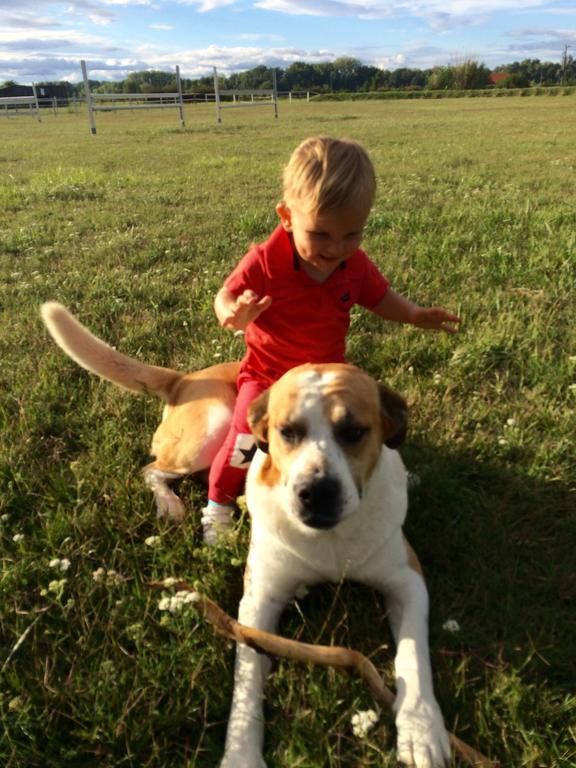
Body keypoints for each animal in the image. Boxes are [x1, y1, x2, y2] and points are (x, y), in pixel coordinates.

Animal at [41, 304, 450, 768]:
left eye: (353, 432)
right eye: (287, 432)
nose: (316, 492)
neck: (329, 542)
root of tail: (186, 378)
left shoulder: (407, 580)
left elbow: (414, 654)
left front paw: (421, 728)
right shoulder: (258, 602)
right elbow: (247, 679)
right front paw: (241, 753)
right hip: (213, 427)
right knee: (154, 470)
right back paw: (177, 506)